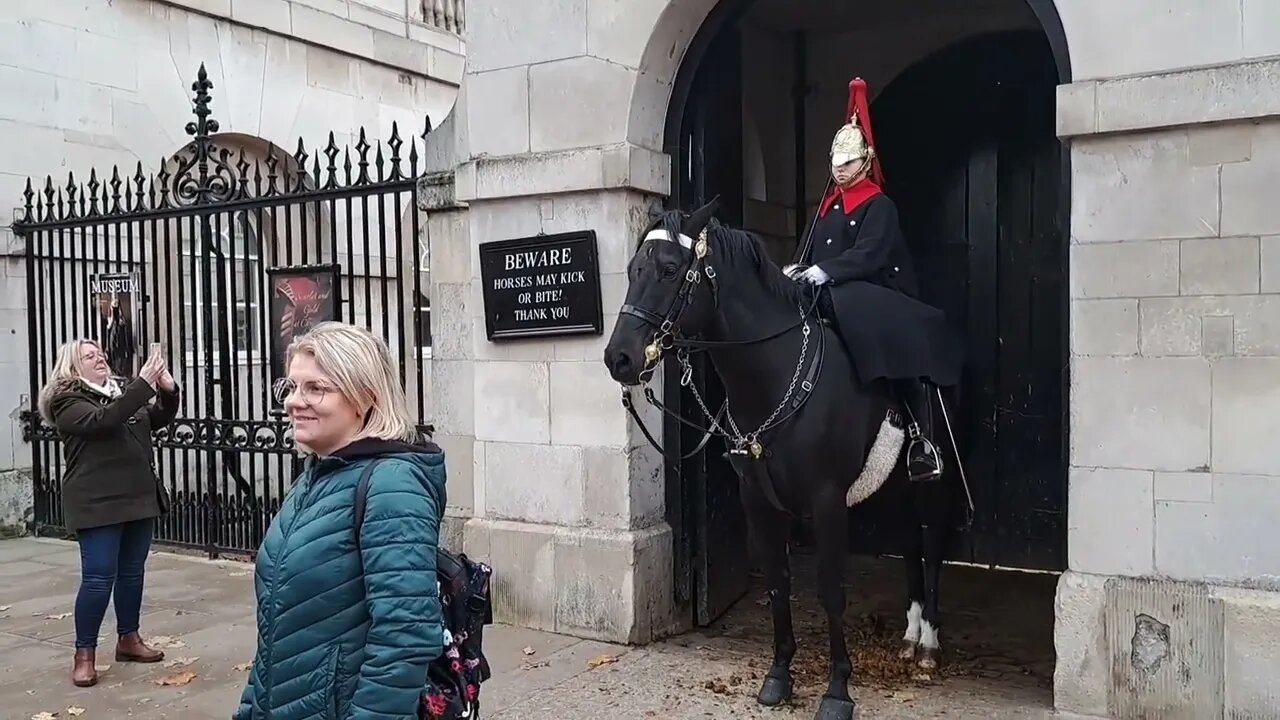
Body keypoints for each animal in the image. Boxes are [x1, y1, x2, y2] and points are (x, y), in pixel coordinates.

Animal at [604, 197, 962, 717]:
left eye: (670, 269)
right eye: (632, 270)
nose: (620, 359)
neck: (774, 376)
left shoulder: (827, 501)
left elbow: (831, 591)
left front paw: (837, 690)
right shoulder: (758, 500)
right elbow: (777, 582)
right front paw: (777, 676)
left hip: (933, 483)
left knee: (931, 545)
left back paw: (929, 644)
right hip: (894, 483)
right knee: (911, 545)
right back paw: (911, 636)